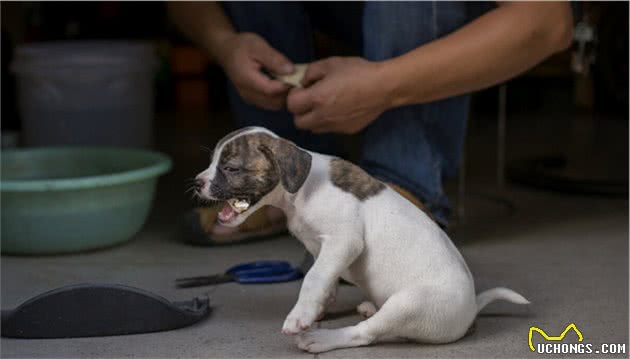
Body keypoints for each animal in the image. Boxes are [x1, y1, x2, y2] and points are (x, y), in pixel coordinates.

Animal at [195, 126, 532, 354]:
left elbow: (314, 277)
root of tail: (471, 311)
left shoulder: (343, 241)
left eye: (230, 168)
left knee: (365, 334)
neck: (301, 190)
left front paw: (301, 315)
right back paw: (368, 307)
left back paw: (321, 339)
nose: (197, 183)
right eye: (211, 162)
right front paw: (318, 308)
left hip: (408, 304)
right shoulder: (322, 249)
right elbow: (325, 278)